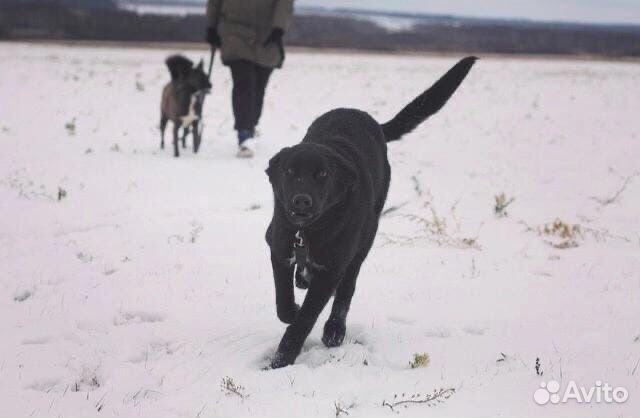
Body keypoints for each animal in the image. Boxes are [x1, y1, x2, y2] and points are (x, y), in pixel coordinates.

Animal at [262, 56, 478, 370]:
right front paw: (292, 308)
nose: (301, 202)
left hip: (364, 242)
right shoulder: (278, 247)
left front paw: (281, 359)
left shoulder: (332, 268)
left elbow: (305, 318)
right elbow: (283, 302)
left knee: (347, 289)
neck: (309, 232)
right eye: (290, 172)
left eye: (322, 175)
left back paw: (335, 330)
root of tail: (371, 120)